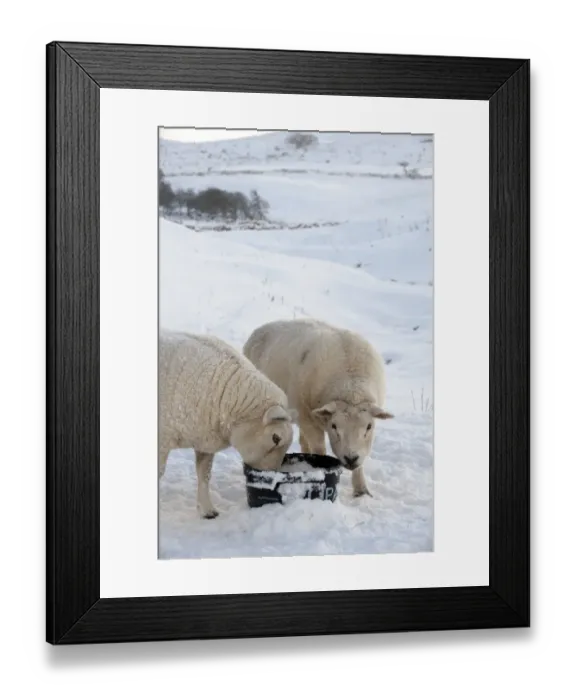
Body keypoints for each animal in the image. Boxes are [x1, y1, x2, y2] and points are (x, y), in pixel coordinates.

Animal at [159, 330, 296, 518]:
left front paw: (208, 510)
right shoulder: (162, 441)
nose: (271, 477)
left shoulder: (204, 440)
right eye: (276, 438)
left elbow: (204, 474)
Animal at [243, 319, 393, 497]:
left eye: (369, 426)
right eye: (334, 426)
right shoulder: (307, 418)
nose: (350, 458)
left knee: (303, 441)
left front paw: (361, 490)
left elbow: (362, 458)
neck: (351, 386)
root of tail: (262, 327)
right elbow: (319, 450)